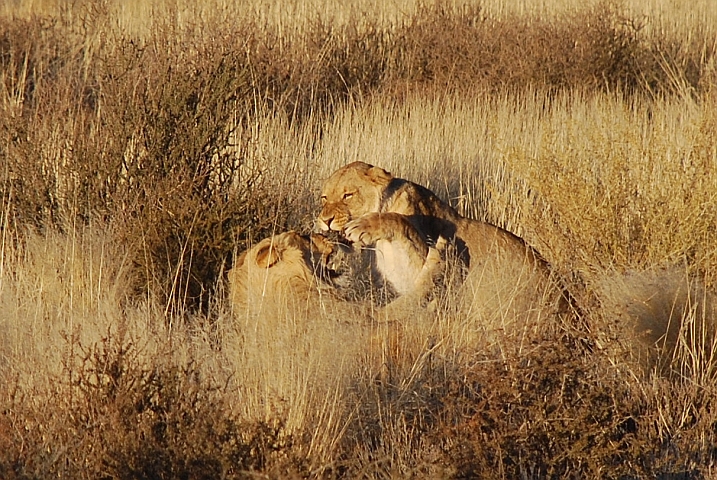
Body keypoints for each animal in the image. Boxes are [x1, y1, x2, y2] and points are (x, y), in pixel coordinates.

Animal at [316, 161, 568, 334]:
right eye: (324, 198)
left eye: (348, 195)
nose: (325, 220)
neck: (381, 245)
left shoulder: (427, 258)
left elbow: (398, 221)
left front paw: (365, 225)